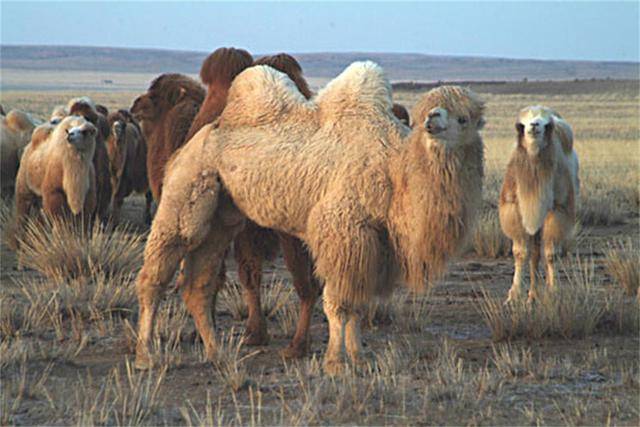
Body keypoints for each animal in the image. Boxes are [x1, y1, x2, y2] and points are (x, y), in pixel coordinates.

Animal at [135, 61, 484, 374]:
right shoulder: (341, 229)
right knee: (158, 271)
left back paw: (217, 354)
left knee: (198, 284)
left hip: (223, 215)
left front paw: (358, 358)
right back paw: (145, 356)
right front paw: (335, 363)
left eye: (464, 118)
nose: (432, 120)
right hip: (186, 189)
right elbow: (338, 303)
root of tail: (197, 137)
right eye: (429, 112)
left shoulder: (371, 241)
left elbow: (357, 301)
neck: (394, 168)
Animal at [500, 105, 580, 302]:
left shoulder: (557, 210)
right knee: (534, 253)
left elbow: (551, 254)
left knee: (539, 252)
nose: (534, 125)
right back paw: (532, 294)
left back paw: (534, 294)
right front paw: (514, 295)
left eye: (546, 123)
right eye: (523, 122)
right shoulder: (514, 210)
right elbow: (520, 253)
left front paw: (553, 290)